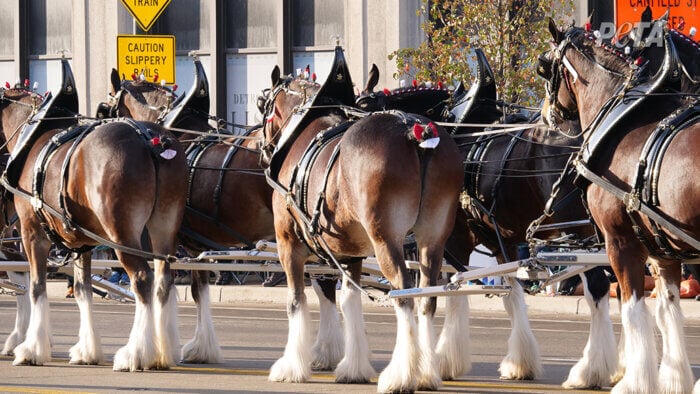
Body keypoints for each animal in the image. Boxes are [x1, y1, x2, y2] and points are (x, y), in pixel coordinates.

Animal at [0, 62, 187, 372]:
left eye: (106, 106)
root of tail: (151, 141)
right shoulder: (82, 242)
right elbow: (82, 289)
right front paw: (87, 350)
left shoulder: (32, 233)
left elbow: (37, 286)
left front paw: (31, 349)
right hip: (164, 226)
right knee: (162, 280)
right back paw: (163, 353)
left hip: (121, 232)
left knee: (141, 279)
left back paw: (135, 353)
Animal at [260, 47, 462, 392]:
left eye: (264, 107)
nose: (262, 148)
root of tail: (416, 134)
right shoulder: (351, 253)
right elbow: (350, 302)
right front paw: (352, 367)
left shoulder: (289, 246)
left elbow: (296, 301)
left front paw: (290, 366)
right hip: (432, 240)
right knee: (426, 297)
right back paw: (425, 373)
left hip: (386, 240)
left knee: (403, 294)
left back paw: (401, 374)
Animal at [540, 19, 700, 394]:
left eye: (543, 67)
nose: (545, 115)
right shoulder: (663, 250)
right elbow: (669, 311)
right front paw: (673, 380)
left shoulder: (621, 244)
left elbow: (632, 310)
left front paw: (635, 382)